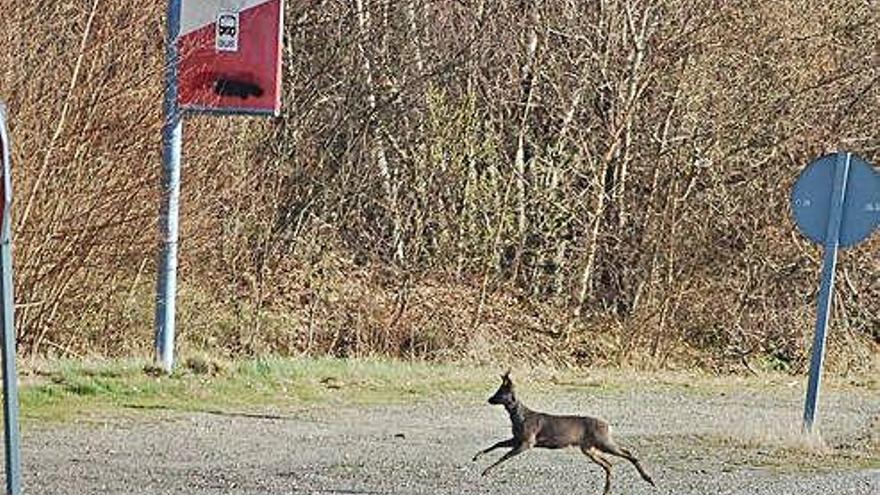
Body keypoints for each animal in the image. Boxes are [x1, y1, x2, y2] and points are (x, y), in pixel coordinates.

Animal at [474, 372, 652, 495]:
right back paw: (606, 490)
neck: (520, 418)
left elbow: (505, 456)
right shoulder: (517, 438)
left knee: (628, 453)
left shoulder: (528, 441)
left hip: (602, 441)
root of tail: (607, 426)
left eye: (500, 392)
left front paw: (486, 471)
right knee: (609, 464)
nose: (490, 399)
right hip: (588, 448)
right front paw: (477, 457)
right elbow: (497, 444)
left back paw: (648, 478)